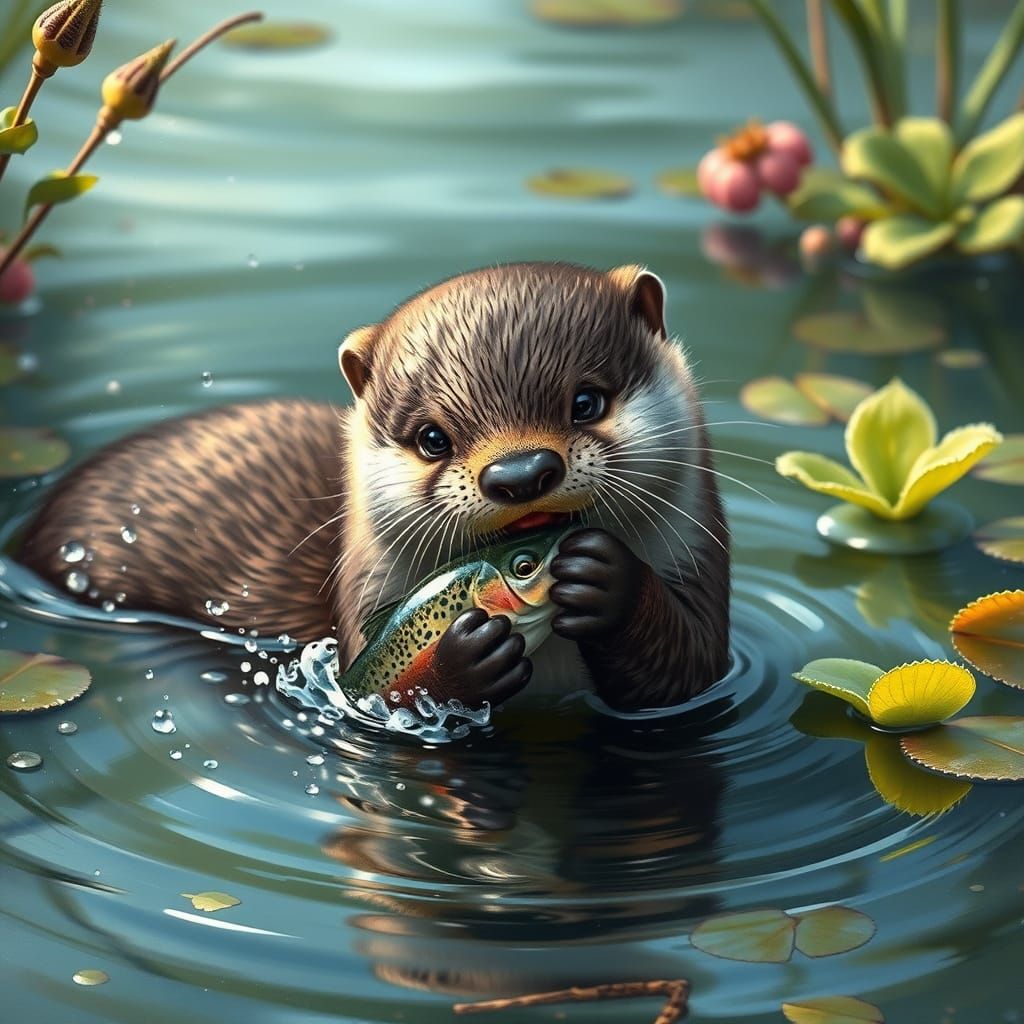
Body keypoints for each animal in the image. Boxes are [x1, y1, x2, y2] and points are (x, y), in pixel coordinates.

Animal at [18, 262, 730, 711]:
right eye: (433, 438)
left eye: (586, 402)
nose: (521, 472)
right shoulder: (363, 610)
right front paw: (464, 658)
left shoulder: (698, 564)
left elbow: (690, 668)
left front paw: (609, 581)